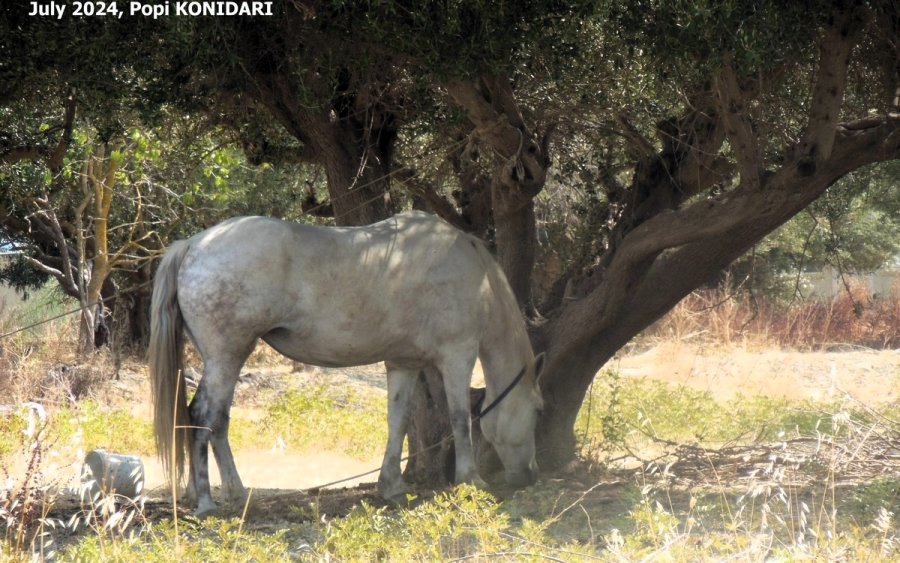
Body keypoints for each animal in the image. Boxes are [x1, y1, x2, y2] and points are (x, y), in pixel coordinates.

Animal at [149, 210, 540, 516]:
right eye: (539, 409)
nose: (531, 474)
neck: (474, 277)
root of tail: (194, 244)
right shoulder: (458, 355)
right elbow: (460, 419)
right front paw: (471, 479)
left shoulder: (403, 363)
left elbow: (398, 422)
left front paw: (392, 486)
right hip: (226, 358)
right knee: (204, 416)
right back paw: (206, 501)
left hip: (224, 361)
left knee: (214, 420)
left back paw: (230, 493)